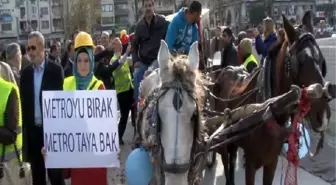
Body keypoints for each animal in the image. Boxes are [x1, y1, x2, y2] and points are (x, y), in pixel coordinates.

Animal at [207, 11, 330, 185]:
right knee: (226, 162)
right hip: (221, 139)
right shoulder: (251, 163)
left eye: (322, 61)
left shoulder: (271, 161)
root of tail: (224, 71)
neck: (268, 108)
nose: (323, 115)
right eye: (299, 63)